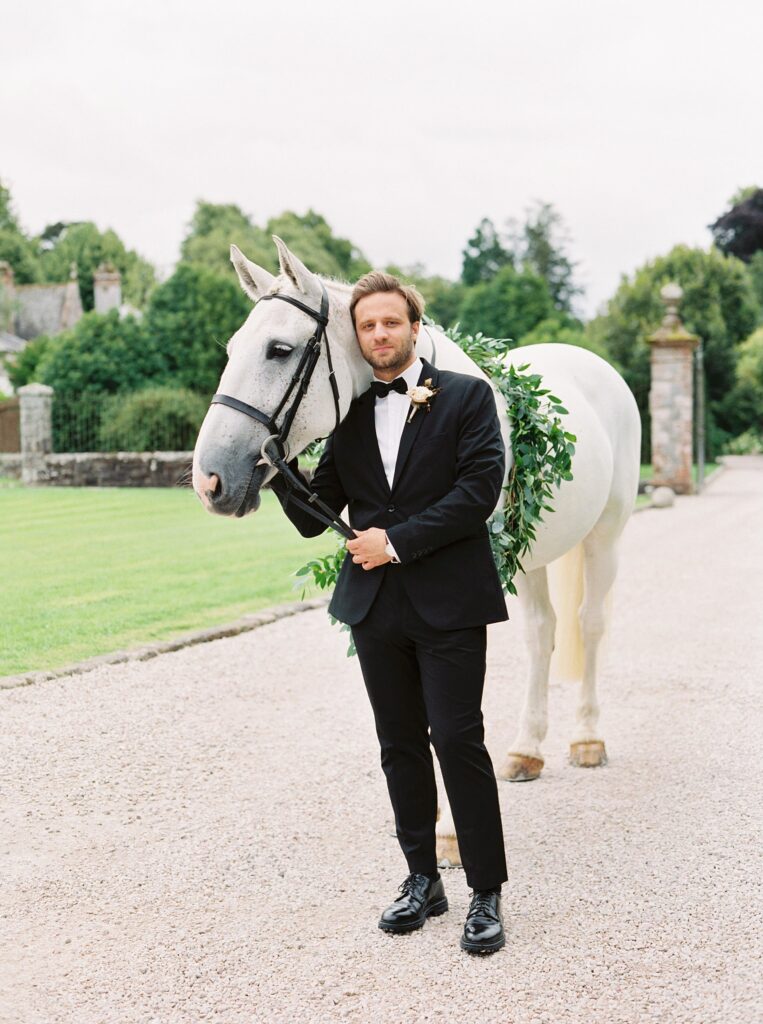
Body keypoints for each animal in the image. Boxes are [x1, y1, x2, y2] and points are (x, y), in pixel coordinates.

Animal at [193, 237, 639, 864]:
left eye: (279, 350)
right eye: (233, 349)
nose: (209, 479)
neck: (402, 391)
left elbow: (450, 711)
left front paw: (450, 830)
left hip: (606, 535)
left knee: (590, 624)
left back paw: (587, 738)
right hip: (531, 552)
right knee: (543, 633)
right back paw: (526, 750)